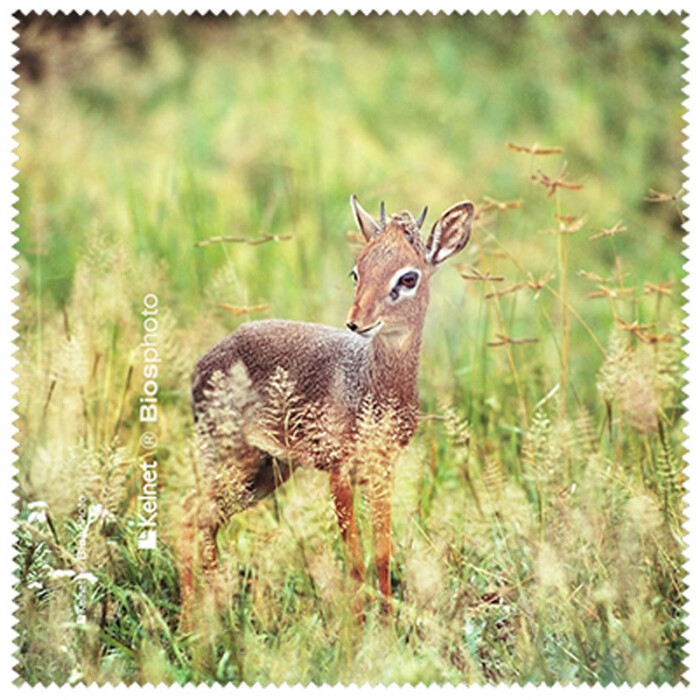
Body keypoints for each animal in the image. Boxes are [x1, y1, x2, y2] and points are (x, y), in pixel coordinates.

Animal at [180, 195, 474, 626]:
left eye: (408, 278)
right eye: (357, 270)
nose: (357, 323)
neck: (368, 387)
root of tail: (202, 364)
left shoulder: (383, 469)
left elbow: (382, 554)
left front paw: (387, 626)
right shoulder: (339, 470)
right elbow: (353, 559)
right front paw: (358, 631)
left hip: (265, 471)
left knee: (207, 521)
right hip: (231, 459)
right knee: (187, 513)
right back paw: (190, 622)